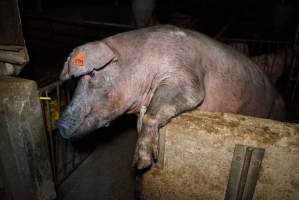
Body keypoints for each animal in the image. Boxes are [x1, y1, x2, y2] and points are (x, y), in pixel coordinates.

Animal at [56, 24, 286, 169]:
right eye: (76, 80)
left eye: (93, 74)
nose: (59, 125)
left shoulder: (185, 76)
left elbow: (158, 110)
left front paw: (141, 164)